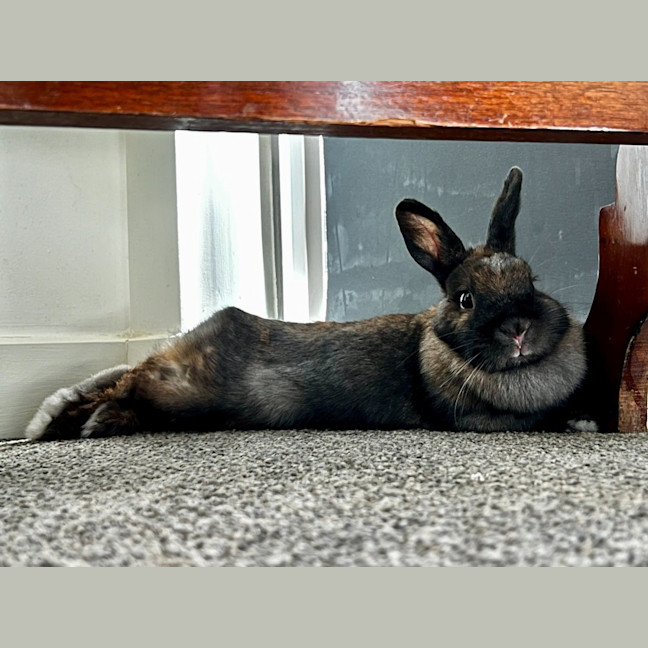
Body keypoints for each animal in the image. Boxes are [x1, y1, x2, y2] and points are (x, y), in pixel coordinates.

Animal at [25, 167, 591, 441]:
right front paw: (578, 422)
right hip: (181, 389)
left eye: (530, 280)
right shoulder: (475, 418)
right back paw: (62, 424)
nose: (518, 329)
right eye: (465, 299)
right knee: (126, 384)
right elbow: (538, 421)